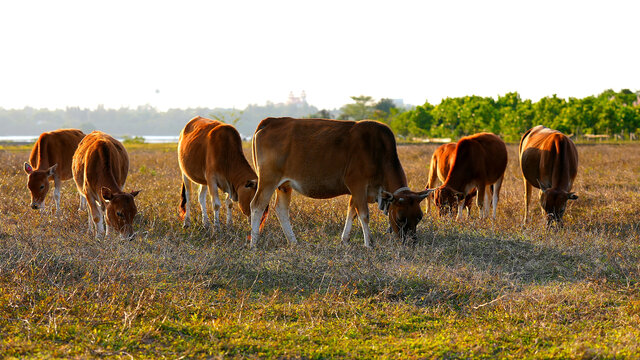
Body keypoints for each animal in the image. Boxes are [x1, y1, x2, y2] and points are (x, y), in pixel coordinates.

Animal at [248, 116, 432, 249]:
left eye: (419, 217)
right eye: (400, 218)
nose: (411, 243)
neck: (378, 152)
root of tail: (271, 121)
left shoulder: (358, 192)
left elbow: (352, 212)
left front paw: (344, 240)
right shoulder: (357, 185)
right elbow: (364, 215)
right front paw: (369, 244)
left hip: (284, 185)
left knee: (281, 209)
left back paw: (293, 242)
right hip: (268, 180)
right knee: (257, 206)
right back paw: (254, 243)